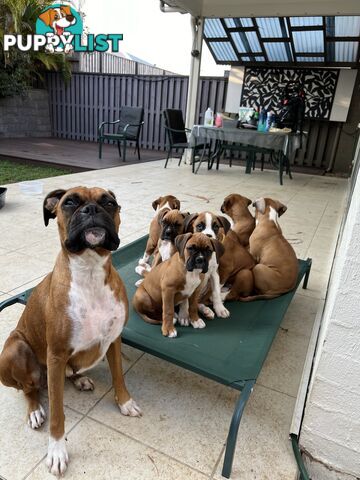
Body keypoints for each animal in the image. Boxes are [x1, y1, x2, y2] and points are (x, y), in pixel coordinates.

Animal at [0, 187, 141, 476]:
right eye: (70, 202)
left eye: (109, 203)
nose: (91, 209)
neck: (90, 271)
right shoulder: (55, 355)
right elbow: (57, 412)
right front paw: (56, 451)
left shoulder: (114, 340)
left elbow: (119, 376)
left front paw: (124, 402)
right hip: (15, 349)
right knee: (28, 389)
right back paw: (34, 410)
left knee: (68, 373)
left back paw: (80, 379)